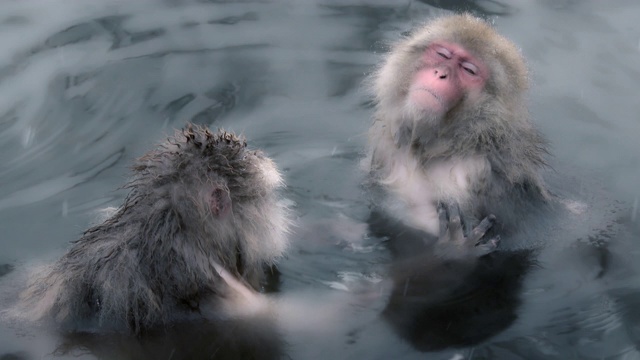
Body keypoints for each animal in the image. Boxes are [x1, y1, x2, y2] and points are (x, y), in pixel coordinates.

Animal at [364, 13, 552, 250]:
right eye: (442, 54)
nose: (440, 73)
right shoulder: (387, 148)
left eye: (469, 70)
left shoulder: (474, 174)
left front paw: (455, 248)